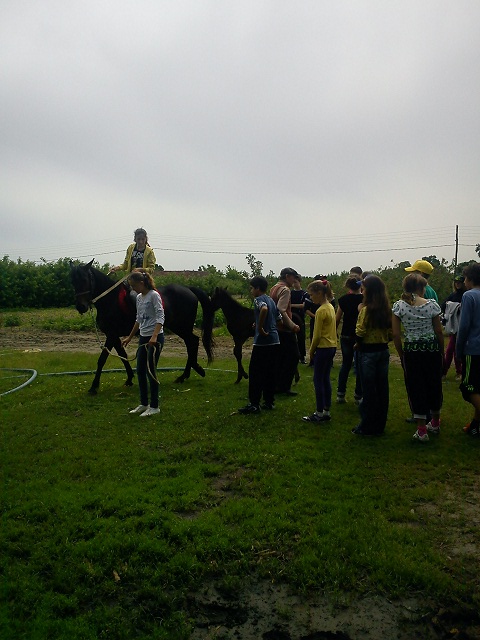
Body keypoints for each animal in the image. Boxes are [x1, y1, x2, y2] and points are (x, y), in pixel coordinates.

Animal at [71, 261, 215, 394]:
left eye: (84, 280)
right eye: (73, 282)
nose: (81, 307)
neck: (110, 300)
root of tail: (188, 289)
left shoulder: (111, 335)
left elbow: (102, 359)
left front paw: (94, 387)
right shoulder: (113, 335)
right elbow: (122, 355)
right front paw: (129, 379)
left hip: (182, 327)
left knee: (193, 342)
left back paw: (187, 373)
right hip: (179, 327)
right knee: (192, 342)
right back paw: (191, 372)